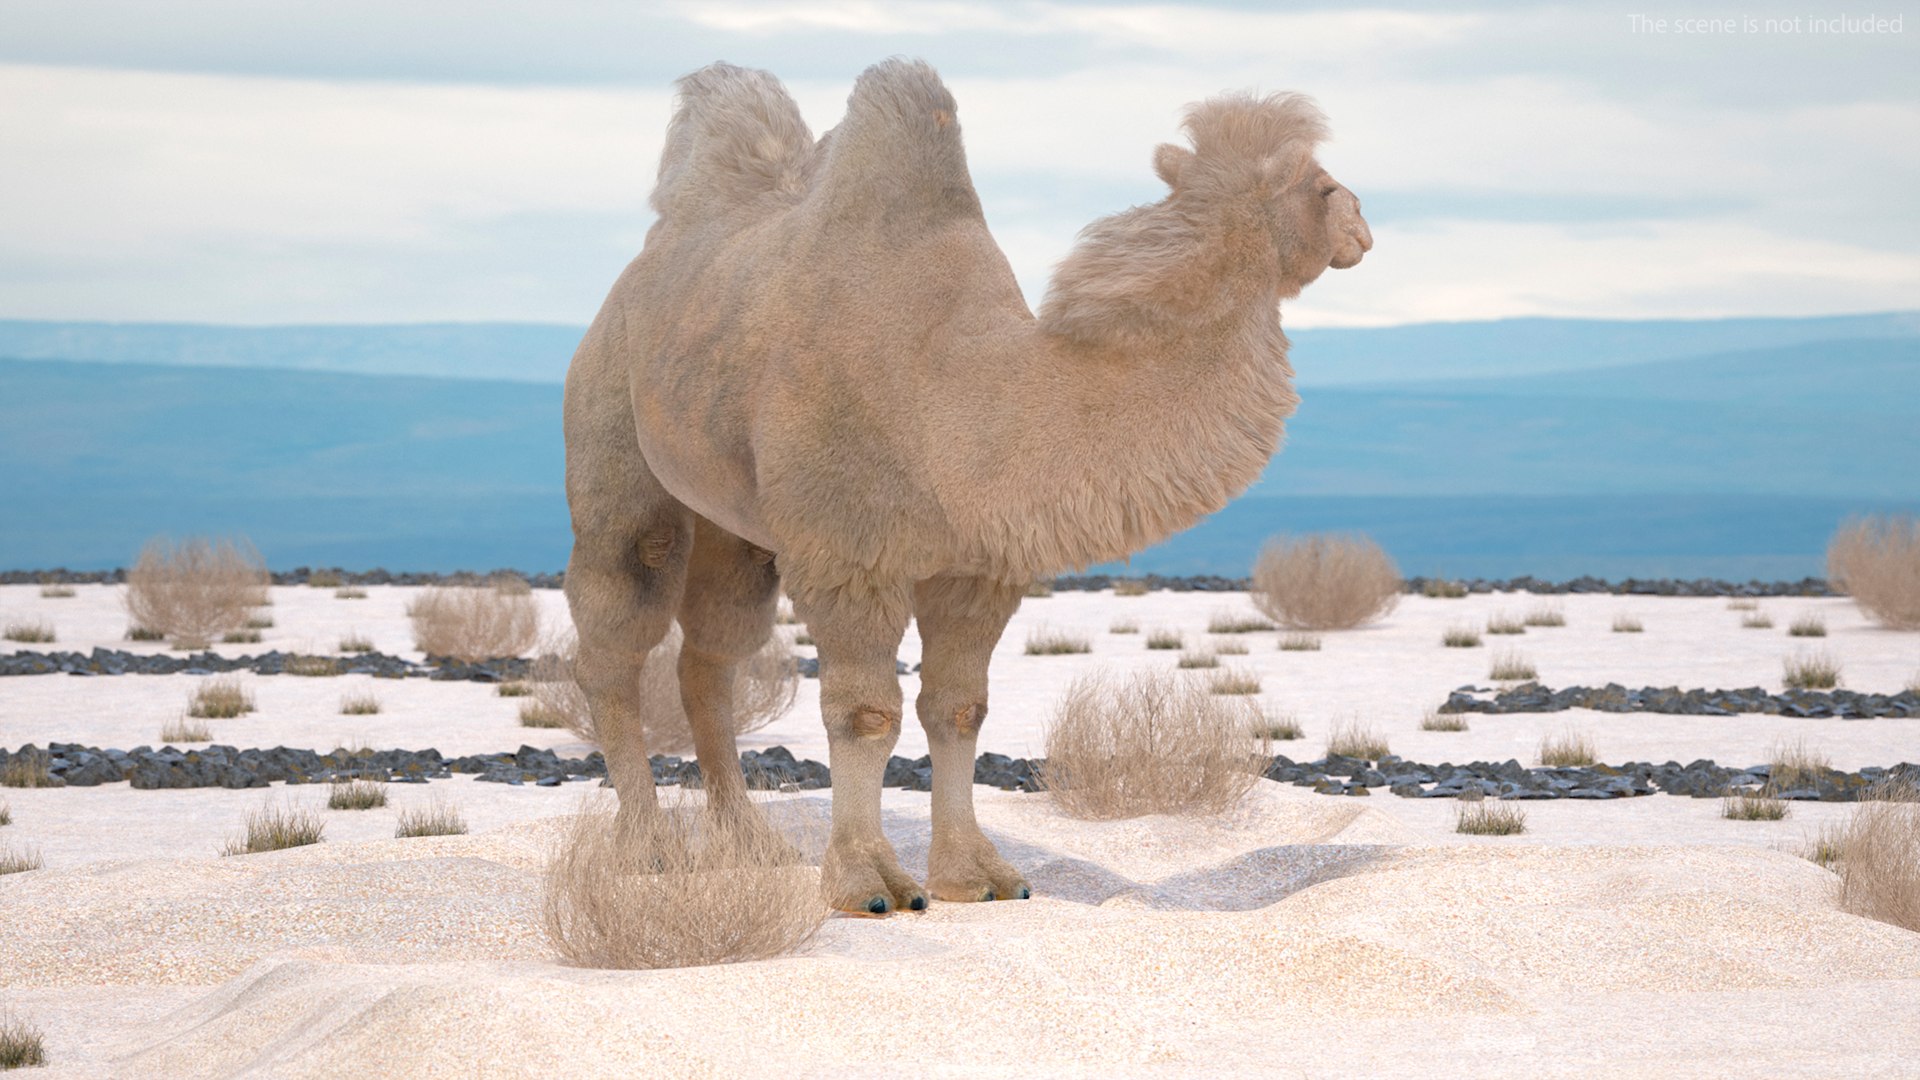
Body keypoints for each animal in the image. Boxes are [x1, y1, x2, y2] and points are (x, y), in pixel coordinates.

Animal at [563, 59, 1370, 914]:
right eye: (1322, 185)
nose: (1362, 221)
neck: (957, 397)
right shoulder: (850, 554)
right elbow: (866, 713)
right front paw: (869, 883)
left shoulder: (975, 569)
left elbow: (957, 709)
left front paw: (977, 877)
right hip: (615, 442)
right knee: (617, 634)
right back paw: (646, 850)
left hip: (739, 524)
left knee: (710, 658)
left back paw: (750, 845)